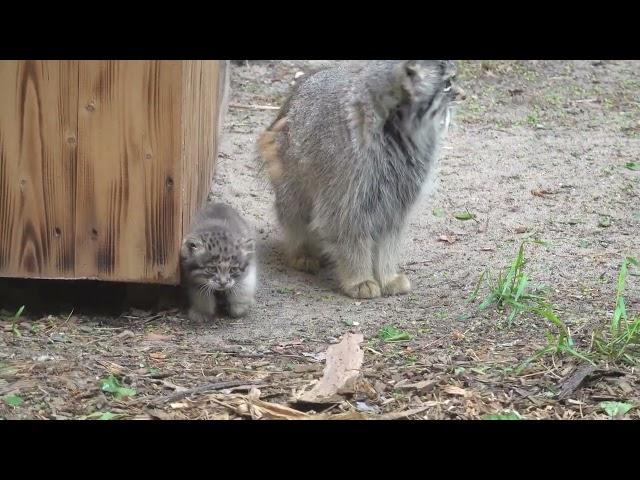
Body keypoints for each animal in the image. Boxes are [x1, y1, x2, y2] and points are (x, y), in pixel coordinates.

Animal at [256, 60, 464, 300]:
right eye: (447, 83)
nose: (463, 94)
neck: (399, 132)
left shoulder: (395, 203)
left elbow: (387, 245)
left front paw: (387, 277)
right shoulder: (347, 201)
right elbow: (352, 240)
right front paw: (359, 279)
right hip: (293, 194)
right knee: (294, 223)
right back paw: (303, 253)